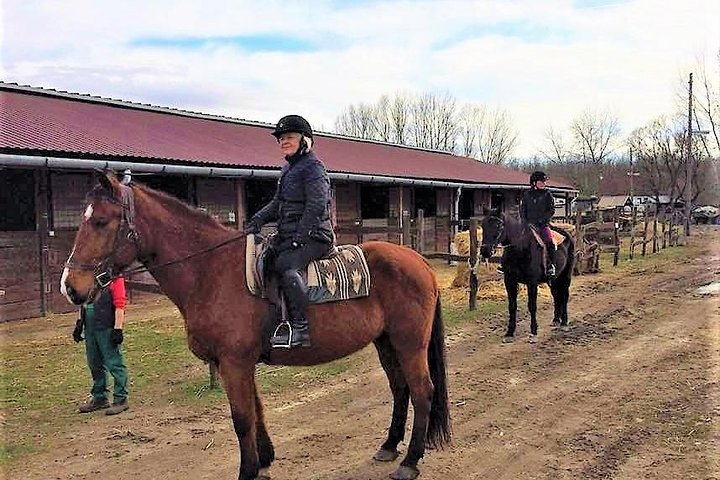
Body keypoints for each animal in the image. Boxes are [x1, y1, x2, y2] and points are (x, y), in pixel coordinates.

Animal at [60, 172, 450, 480]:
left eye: (101, 222)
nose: (70, 286)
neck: (211, 271)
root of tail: (419, 262)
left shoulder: (234, 363)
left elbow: (242, 418)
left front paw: (248, 471)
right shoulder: (239, 364)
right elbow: (256, 411)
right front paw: (264, 461)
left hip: (409, 344)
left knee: (422, 392)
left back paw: (410, 462)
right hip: (386, 342)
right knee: (400, 389)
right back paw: (389, 445)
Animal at [479, 211, 574, 343]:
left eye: (498, 225)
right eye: (483, 225)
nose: (485, 251)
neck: (519, 248)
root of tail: (567, 235)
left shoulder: (532, 282)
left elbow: (532, 306)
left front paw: (533, 332)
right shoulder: (509, 281)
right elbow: (512, 306)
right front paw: (509, 332)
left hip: (565, 276)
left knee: (564, 296)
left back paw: (564, 322)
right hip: (553, 279)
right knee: (556, 295)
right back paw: (556, 320)